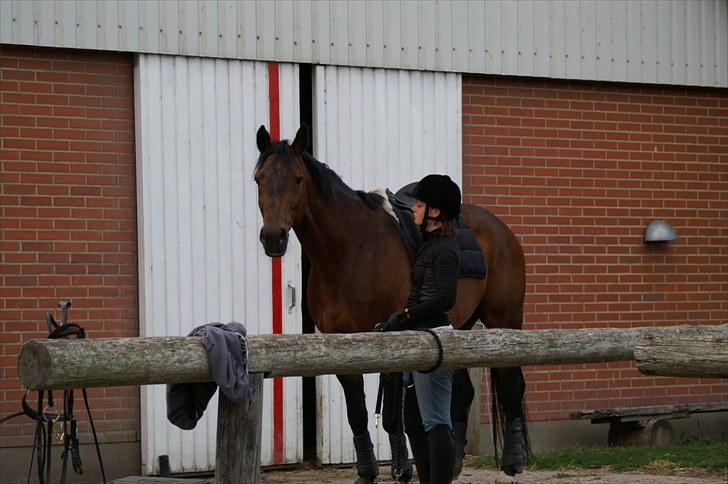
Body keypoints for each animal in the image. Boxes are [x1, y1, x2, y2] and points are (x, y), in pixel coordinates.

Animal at [256, 125, 528, 484]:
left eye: (298, 179)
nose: (273, 238)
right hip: (459, 327)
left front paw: (402, 469)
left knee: (512, 383)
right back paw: (455, 461)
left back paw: (513, 459)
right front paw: (367, 471)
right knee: (463, 392)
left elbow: (389, 417)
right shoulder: (343, 345)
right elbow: (358, 413)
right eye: (259, 178)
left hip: (504, 319)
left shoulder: (393, 338)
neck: (348, 252)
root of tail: (500, 228)